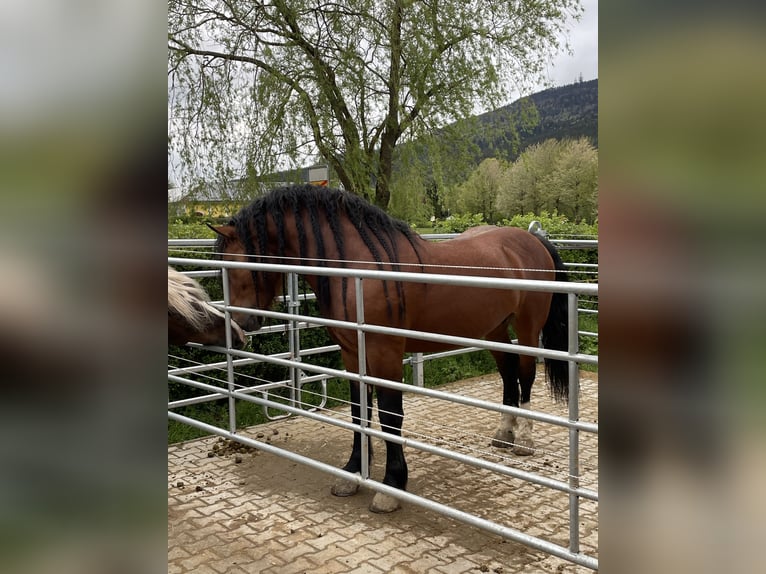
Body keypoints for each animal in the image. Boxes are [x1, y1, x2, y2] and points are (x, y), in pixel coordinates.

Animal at [210, 187, 568, 516]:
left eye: (237, 265)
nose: (241, 326)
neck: (359, 266)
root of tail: (532, 240)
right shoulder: (353, 353)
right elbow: (358, 412)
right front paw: (353, 473)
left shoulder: (386, 353)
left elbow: (390, 415)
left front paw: (391, 487)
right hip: (494, 329)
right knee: (508, 372)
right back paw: (504, 433)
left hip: (527, 327)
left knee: (525, 374)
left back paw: (525, 440)